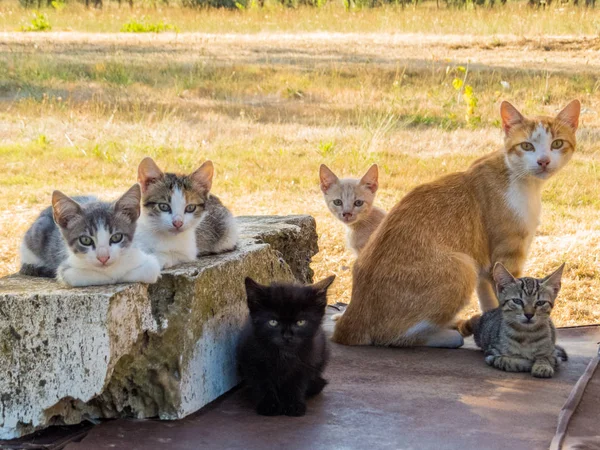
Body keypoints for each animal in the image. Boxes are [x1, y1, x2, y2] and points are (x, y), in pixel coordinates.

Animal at [19, 184, 162, 286]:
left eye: (116, 237)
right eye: (85, 240)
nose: (103, 258)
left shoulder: (147, 259)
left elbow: (150, 270)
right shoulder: (67, 270)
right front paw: (113, 277)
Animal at [237, 274, 336, 418]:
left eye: (301, 322)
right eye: (273, 322)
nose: (287, 336)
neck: (284, 355)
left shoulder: (308, 361)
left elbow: (297, 383)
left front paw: (293, 404)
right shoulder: (252, 360)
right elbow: (262, 382)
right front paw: (269, 405)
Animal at [332, 100, 580, 350]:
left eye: (557, 143)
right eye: (527, 146)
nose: (543, 161)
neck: (519, 179)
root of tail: (349, 321)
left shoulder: (484, 266)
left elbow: (490, 302)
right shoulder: (507, 256)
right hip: (463, 266)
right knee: (393, 336)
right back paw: (446, 336)